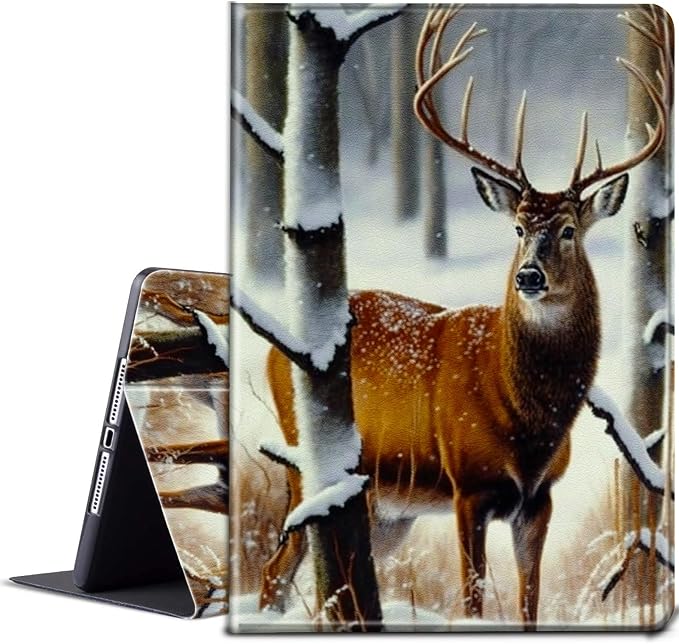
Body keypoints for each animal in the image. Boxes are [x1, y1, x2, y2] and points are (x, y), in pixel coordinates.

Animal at [257, 5, 668, 629]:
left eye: (568, 230)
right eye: (518, 228)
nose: (529, 277)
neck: (527, 420)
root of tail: (274, 350)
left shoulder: (540, 498)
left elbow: (528, 602)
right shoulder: (467, 486)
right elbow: (472, 597)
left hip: (388, 506)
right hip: (304, 462)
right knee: (275, 569)